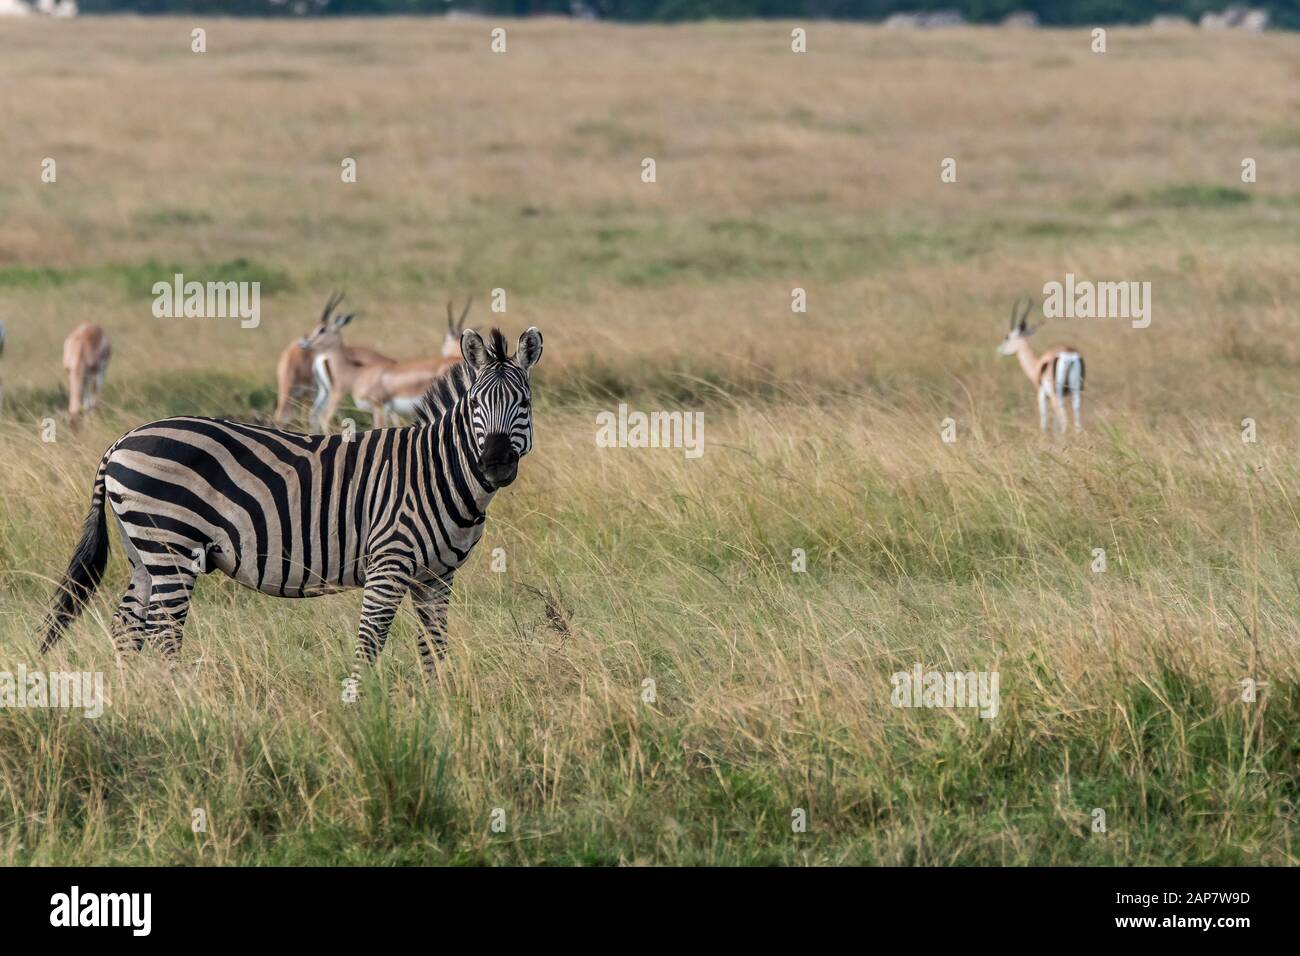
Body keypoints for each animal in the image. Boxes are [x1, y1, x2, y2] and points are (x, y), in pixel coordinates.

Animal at [40, 326, 542, 674]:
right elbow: (369, 644)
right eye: (476, 405)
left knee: (127, 626)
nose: (496, 461)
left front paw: (433, 709)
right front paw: (365, 713)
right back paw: (174, 702)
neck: (438, 471)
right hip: (171, 546)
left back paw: (134, 696)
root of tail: (120, 441)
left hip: (142, 549)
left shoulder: (437, 576)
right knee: (163, 633)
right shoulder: (389, 561)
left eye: (524, 404)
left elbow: (434, 651)